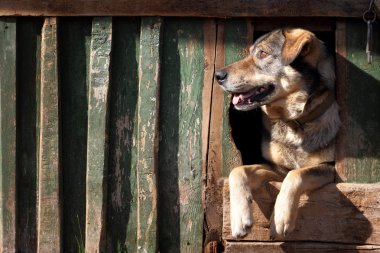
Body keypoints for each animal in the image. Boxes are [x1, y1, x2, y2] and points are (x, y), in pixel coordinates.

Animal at [214, 28, 342, 240]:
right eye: (250, 52)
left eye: (262, 53)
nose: (218, 75)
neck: (295, 121)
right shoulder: (276, 169)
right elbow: (238, 170)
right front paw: (240, 218)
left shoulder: (329, 169)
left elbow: (296, 174)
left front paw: (281, 218)